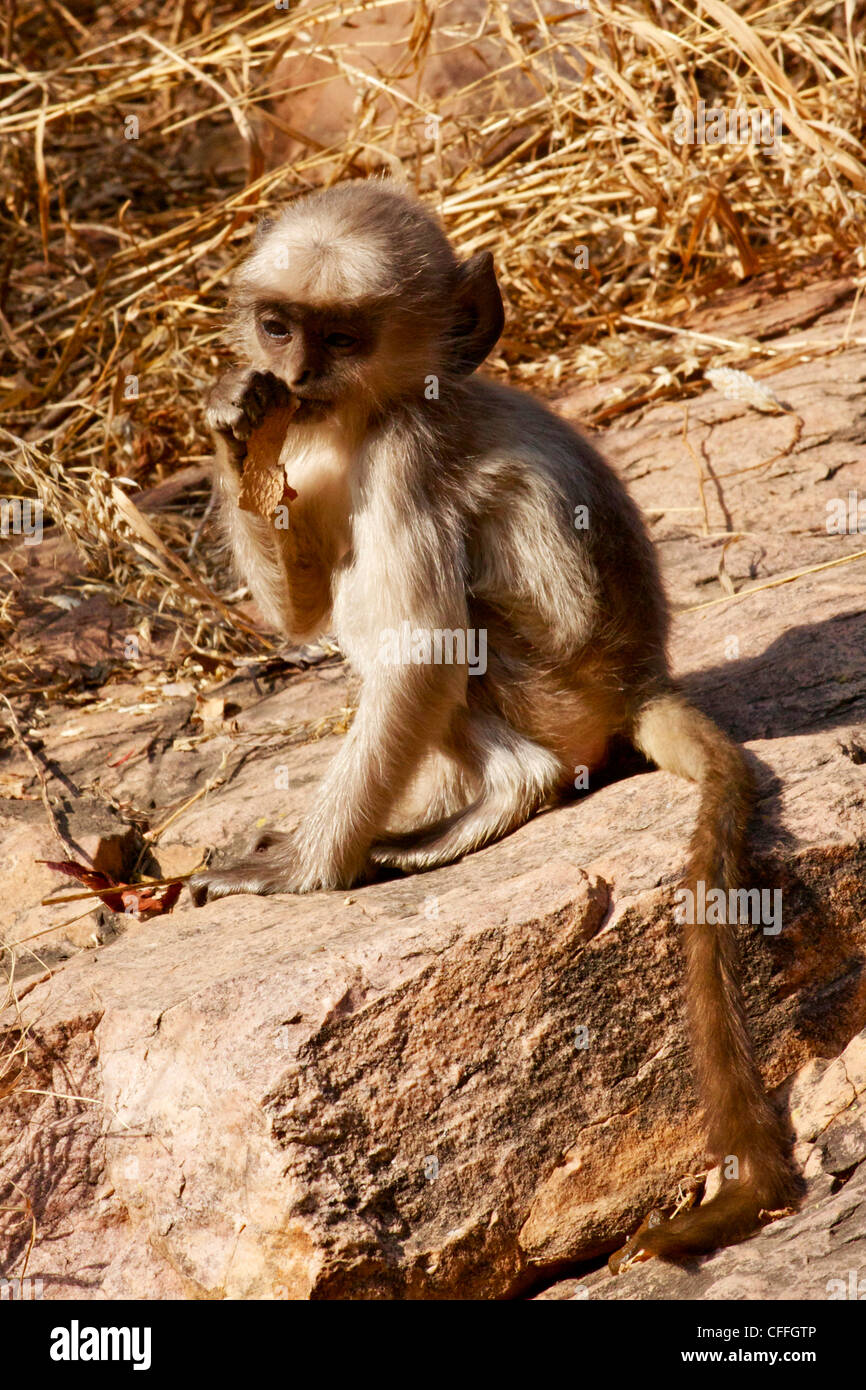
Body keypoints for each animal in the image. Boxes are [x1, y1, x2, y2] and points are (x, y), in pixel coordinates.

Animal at [191, 182, 800, 1273]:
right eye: (279, 327)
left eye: (340, 337)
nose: (296, 376)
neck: (378, 405)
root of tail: (641, 675)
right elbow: (302, 616)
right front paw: (233, 424)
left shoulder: (401, 451)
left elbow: (424, 650)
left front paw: (301, 875)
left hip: (553, 683)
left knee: (424, 629)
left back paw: (504, 795)